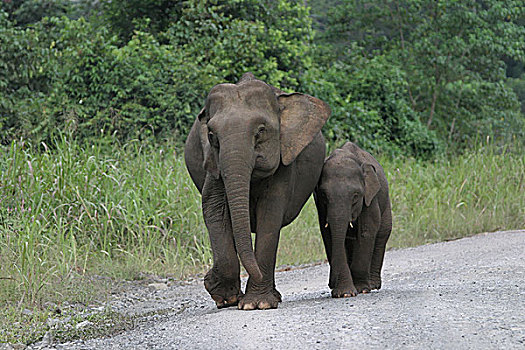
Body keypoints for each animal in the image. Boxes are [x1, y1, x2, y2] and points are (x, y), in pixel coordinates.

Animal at [184, 73, 330, 308]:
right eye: (211, 135)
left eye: (261, 131)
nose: (207, 277)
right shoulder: (213, 163)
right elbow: (214, 208)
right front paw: (223, 295)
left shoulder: (284, 159)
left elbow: (270, 213)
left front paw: (256, 304)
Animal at [314, 141, 390, 296]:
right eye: (324, 195)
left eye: (355, 196)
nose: (330, 283)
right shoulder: (321, 208)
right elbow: (329, 235)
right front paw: (345, 293)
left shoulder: (369, 199)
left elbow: (366, 232)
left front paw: (362, 289)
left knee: (381, 236)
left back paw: (372, 285)